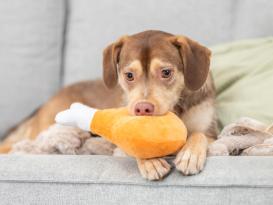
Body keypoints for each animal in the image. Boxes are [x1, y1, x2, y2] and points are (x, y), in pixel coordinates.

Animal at [0, 30, 218, 179]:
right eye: (129, 75)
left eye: (166, 72)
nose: (142, 108)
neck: (176, 110)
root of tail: (47, 101)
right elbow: (133, 144)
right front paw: (151, 162)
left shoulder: (211, 132)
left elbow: (198, 135)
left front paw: (189, 154)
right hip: (47, 127)